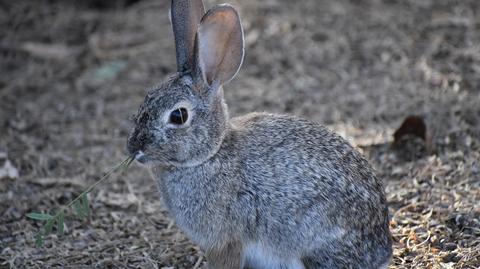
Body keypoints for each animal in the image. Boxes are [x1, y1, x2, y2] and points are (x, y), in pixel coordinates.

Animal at [125, 1, 392, 266]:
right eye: (146, 98)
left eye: (178, 116)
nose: (134, 147)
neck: (211, 154)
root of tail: (382, 249)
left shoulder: (226, 242)